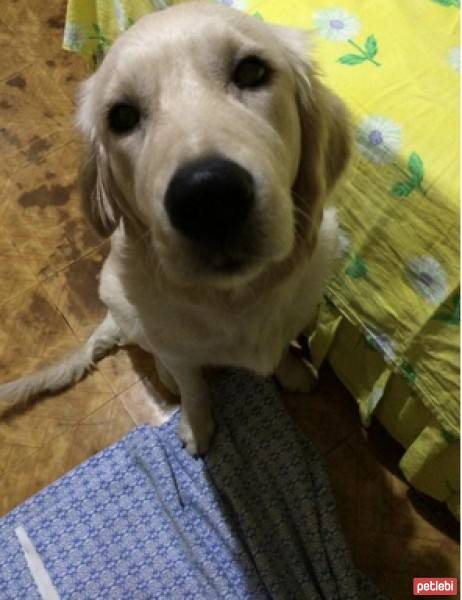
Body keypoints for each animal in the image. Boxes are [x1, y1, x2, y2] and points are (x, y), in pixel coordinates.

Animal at [0, 2, 350, 458]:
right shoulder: (181, 352)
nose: (209, 196)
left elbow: (282, 347)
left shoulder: (299, 311)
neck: (235, 297)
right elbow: (193, 386)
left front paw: (291, 371)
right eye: (122, 116)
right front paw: (196, 426)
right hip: (119, 298)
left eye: (251, 71)